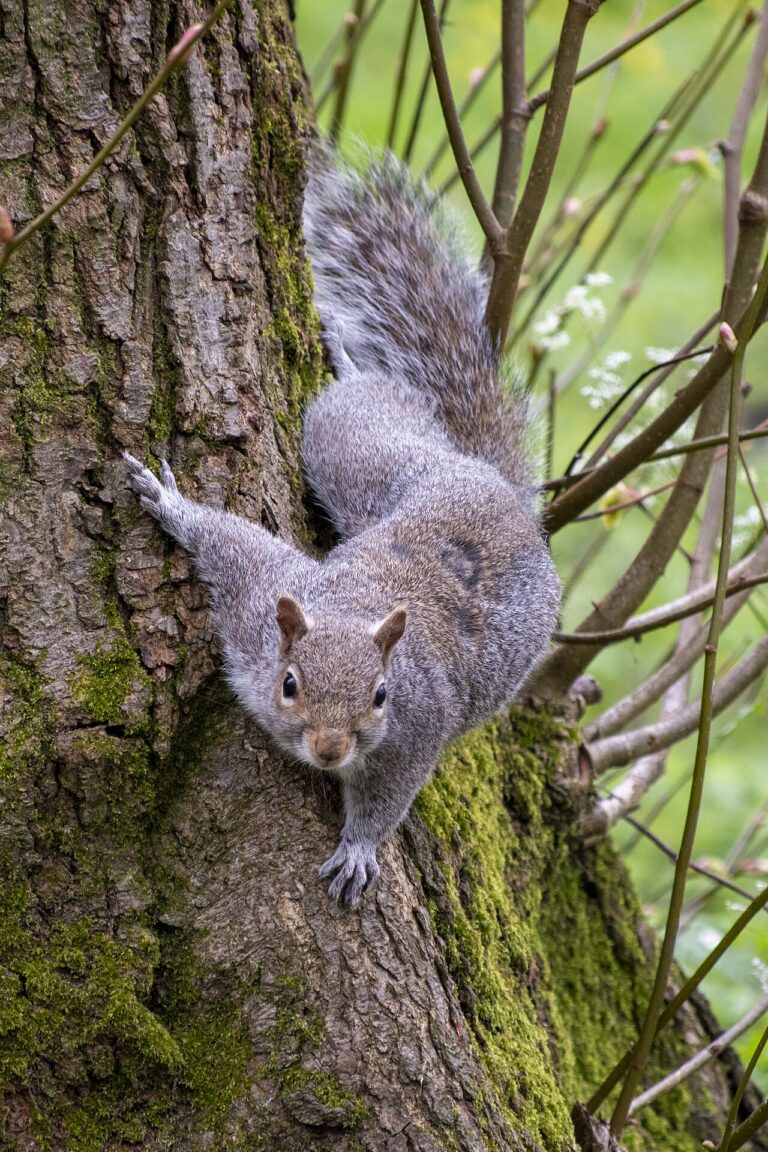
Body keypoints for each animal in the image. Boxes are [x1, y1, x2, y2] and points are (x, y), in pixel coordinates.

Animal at [125, 152, 561, 907]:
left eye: (380, 696)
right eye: (290, 683)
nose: (329, 748)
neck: (351, 614)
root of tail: (491, 484)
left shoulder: (414, 732)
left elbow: (388, 798)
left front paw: (359, 849)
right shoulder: (258, 601)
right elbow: (232, 542)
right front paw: (170, 503)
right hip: (354, 452)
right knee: (358, 406)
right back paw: (348, 356)